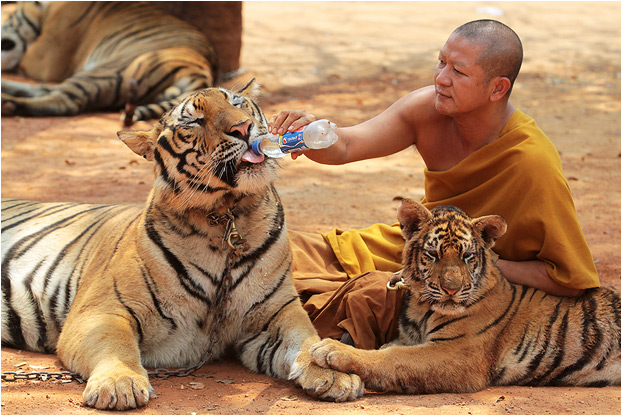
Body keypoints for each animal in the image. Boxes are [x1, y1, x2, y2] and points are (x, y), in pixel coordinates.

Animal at [0, 2, 219, 125]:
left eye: (7, 17)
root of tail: (204, 71)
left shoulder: (44, 59)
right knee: (46, 90)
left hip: (108, 72)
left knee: (63, 100)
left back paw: (7, 103)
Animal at [0, 80, 364, 410]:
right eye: (193, 121)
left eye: (237, 103)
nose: (243, 128)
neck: (227, 214)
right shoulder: (101, 310)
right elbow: (115, 344)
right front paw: (119, 384)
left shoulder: (278, 311)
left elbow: (306, 338)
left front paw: (332, 371)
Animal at [314, 198, 620, 394]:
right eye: (433, 254)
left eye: (467, 256)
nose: (451, 289)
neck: (420, 306)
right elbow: (387, 350)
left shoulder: (456, 353)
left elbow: (392, 359)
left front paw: (331, 349)